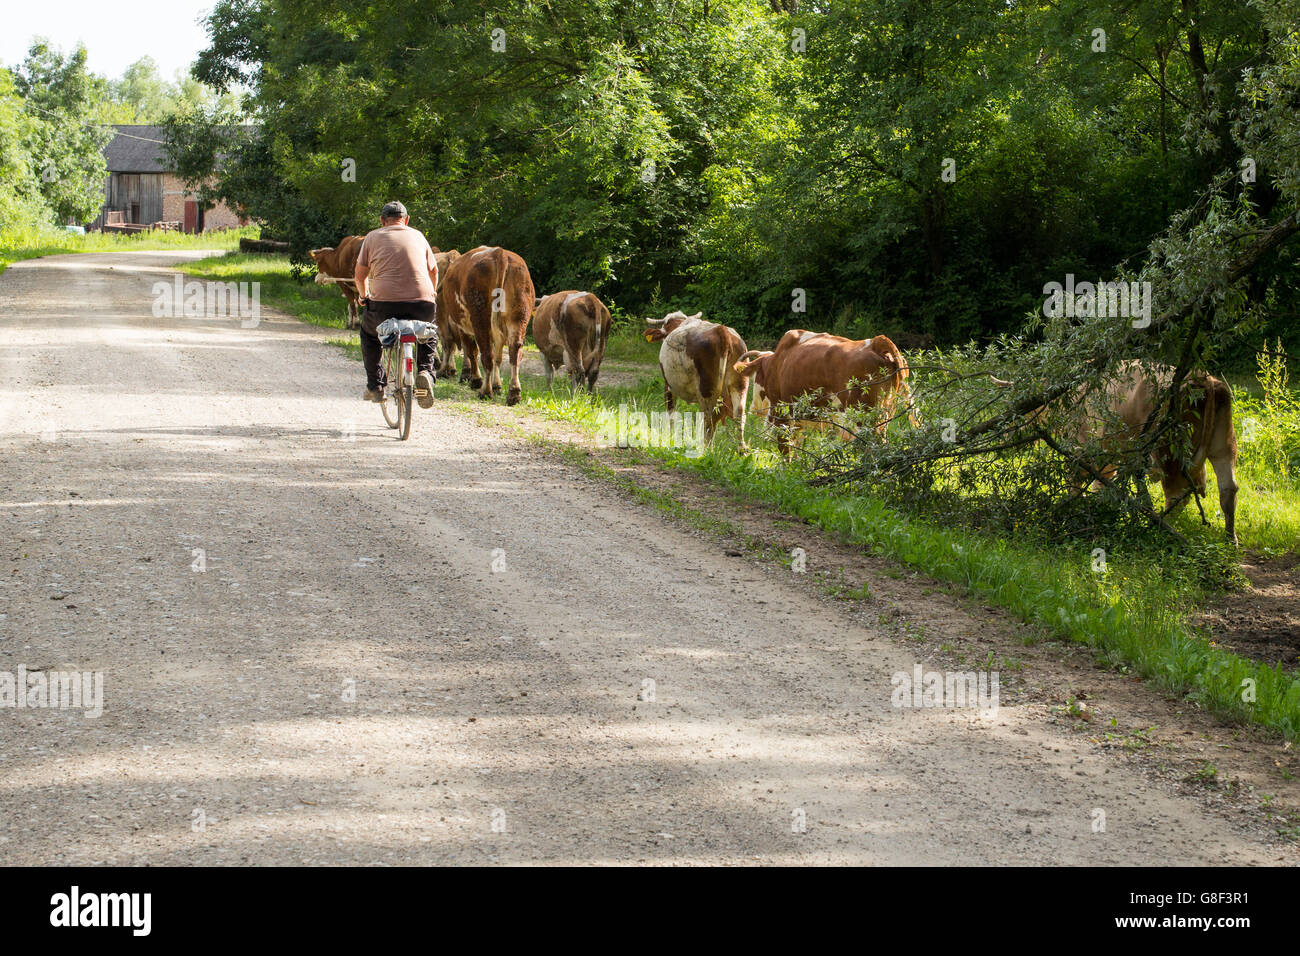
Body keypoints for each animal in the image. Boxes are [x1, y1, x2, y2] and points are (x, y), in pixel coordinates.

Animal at [439, 244, 535, 405]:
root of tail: (500, 253)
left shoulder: (462, 326)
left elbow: (470, 352)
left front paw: (475, 380)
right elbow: (498, 357)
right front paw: (497, 386)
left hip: (480, 319)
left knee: (485, 355)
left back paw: (485, 391)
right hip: (519, 318)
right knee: (514, 352)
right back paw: (514, 393)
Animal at [642, 310, 754, 452]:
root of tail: (722, 331)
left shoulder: (668, 386)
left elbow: (671, 414)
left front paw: (671, 439)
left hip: (706, 391)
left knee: (709, 419)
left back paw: (706, 450)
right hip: (740, 385)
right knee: (739, 414)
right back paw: (741, 449)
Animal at [733, 329, 925, 455]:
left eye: (756, 377)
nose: (754, 408)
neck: (777, 362)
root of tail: (876, 342)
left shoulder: (782, 415)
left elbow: (786, 449)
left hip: (863, 419)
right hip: (884, 415)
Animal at [1066, 361, 1237, 546]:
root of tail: (1203, 379)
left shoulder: (1082, 445)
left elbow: (1076, 480)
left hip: (1171, 456)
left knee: (1176, 496)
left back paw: (1165, 530)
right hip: (1223, 445)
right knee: (1228, 488)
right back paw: (1230, 540)